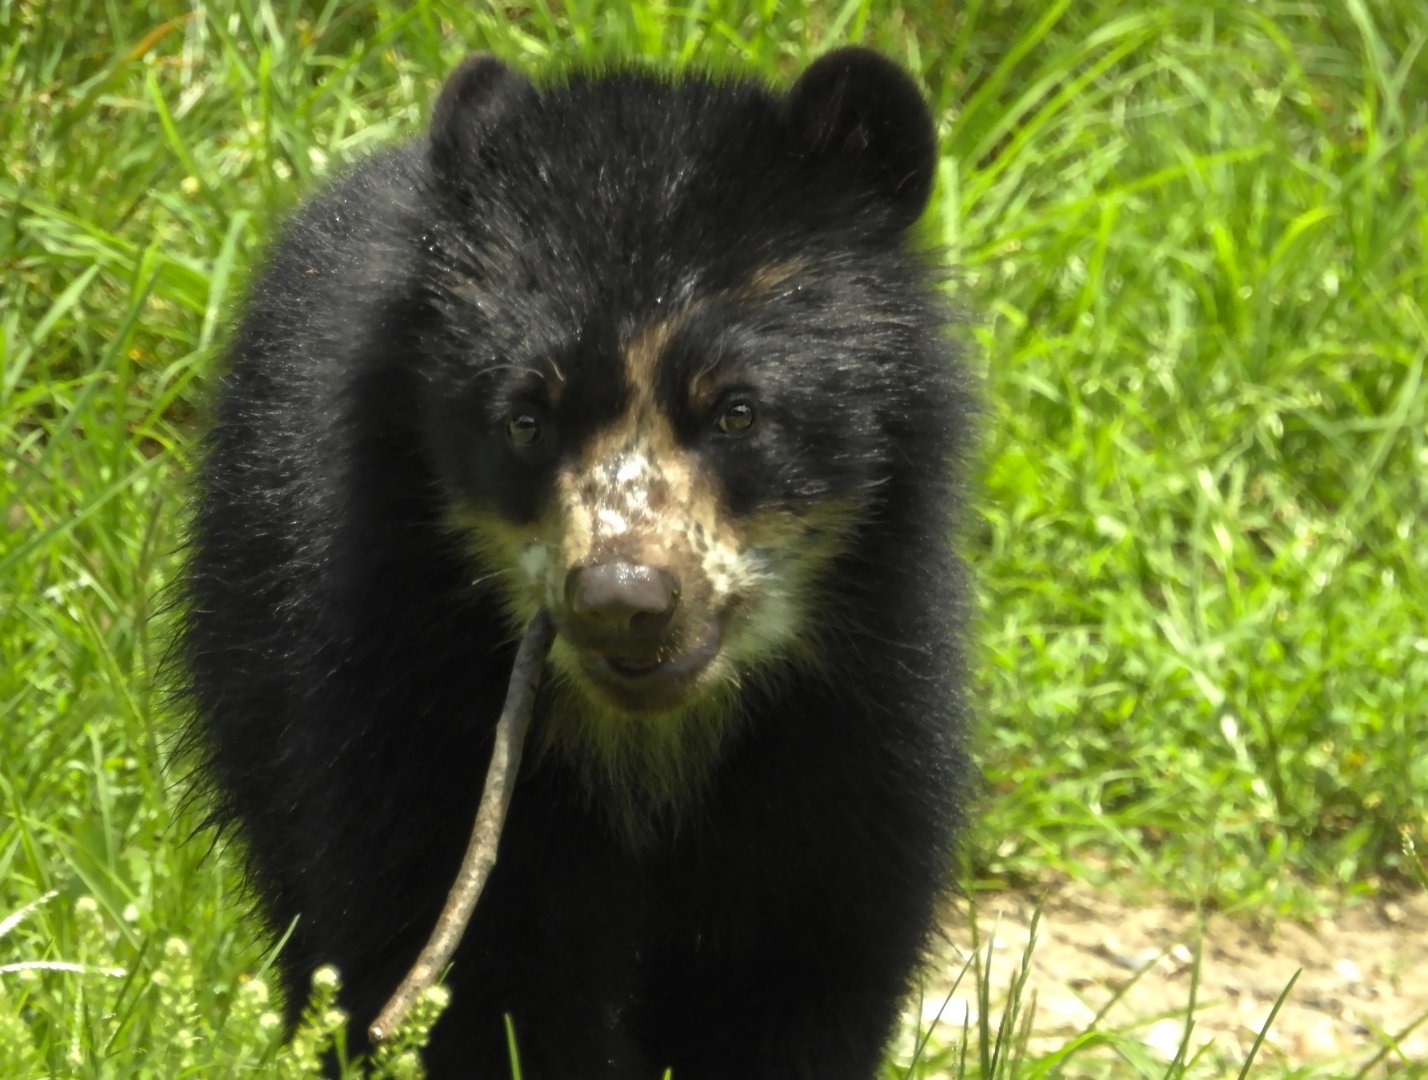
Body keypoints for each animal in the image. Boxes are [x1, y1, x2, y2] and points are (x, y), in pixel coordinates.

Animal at [177, 47, 973, 1079]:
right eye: (526, 419)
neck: (649, 737)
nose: (621, 599)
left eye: (738, 411)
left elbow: (803, 971)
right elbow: (464, 961)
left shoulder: (852, 732)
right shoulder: (406, 700)